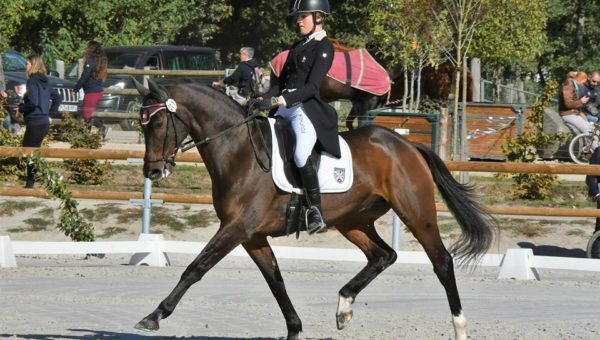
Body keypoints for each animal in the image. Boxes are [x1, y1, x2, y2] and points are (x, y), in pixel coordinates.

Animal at [134, 78, 494, 338]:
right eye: (141, 125)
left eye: (158, 123)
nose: (152, 172)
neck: (240, 152)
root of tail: (406, 144)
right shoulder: (252, 236)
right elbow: (275, 281)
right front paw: (295, 329)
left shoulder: (237, 228)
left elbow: (196, 268)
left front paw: (154, 316)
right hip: (353, 220)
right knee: (383, 255)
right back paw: (343, 307)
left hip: (416, 213)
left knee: (442, 262)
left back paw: (460, 327)